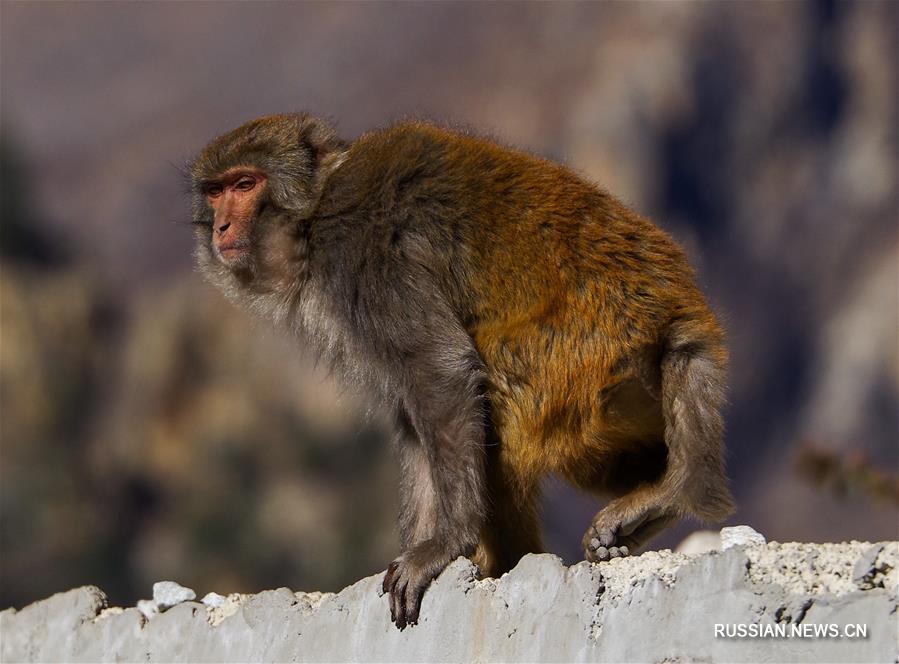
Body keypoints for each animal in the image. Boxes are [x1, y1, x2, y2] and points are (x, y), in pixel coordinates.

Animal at [193, 116, 736, 632]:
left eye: (246, 184)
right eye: (216, 191)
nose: (221, 226)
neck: (314, 213)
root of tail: (681, 305)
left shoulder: (362, 257)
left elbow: (440, 370)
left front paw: (445, 545)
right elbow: (413, 414)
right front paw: (424, 543)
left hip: (582, 352)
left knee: (493, 384)